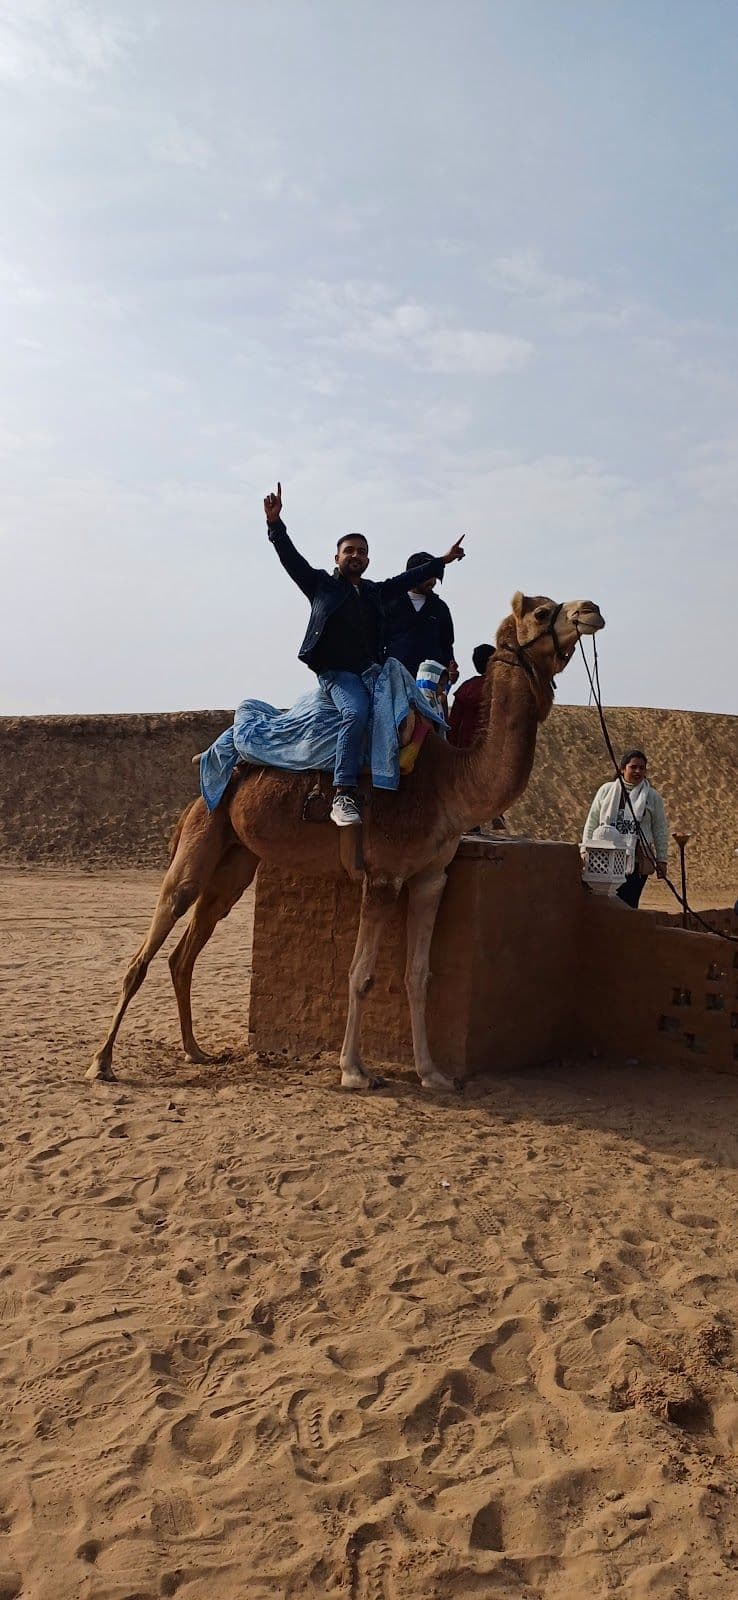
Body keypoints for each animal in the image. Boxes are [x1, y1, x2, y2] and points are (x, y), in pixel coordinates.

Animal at [87, 591, 604, 1090]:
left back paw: (195, 1050)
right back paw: (102, 1062)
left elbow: (419, 976)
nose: (591, 610)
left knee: (185, 951)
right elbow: (361, 975)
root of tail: (211, 772)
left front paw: (432, 1074)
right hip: (202, 837)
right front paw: (354, 1071)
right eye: (542, 612)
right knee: (153, 939)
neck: (450, 785)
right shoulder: (383, 874)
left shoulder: (431, 877)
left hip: (235, 863)